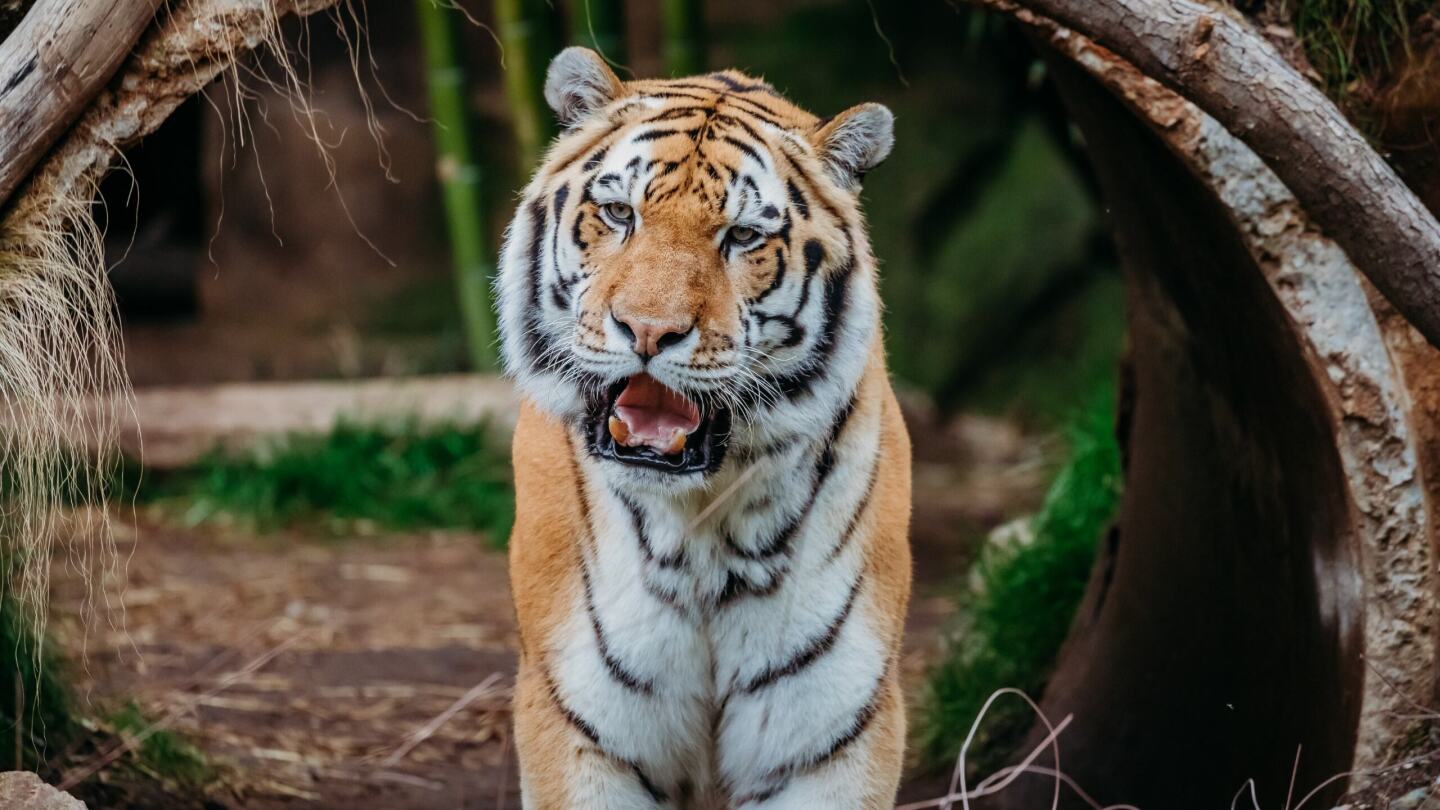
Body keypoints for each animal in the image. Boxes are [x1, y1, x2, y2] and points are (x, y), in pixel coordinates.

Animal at [496, 47, 912, 809]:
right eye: (619, 213)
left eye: (742, 236)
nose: (648, 330)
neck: (701, 526)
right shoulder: (579, 721)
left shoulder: (832, 735)